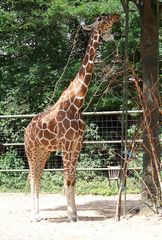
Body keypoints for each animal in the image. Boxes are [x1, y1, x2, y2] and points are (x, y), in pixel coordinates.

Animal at [24, 14, 119, 222]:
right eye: (101, 18)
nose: (117, 15)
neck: (77, 101)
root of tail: (26, 130)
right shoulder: (67, 143)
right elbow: (67, 179)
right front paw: (69, 216)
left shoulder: (77, 143)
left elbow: (73, 179)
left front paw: (76, 215)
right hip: (31, 150)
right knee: (33, 178)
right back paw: (34, 215)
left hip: (44, 151)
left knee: (36, 177)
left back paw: (39, 214)